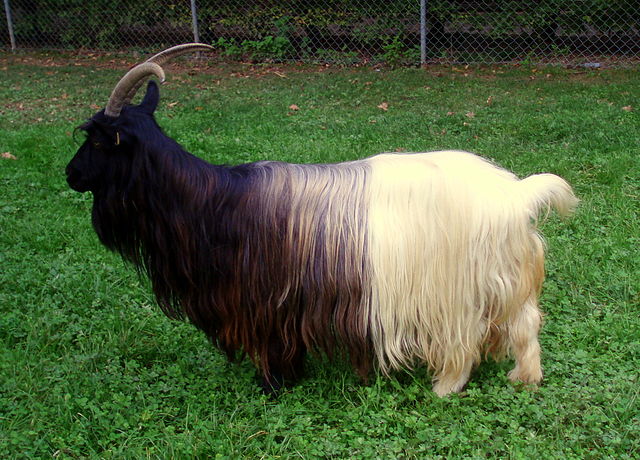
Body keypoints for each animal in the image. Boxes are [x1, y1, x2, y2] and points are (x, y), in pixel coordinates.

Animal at [66, 44, 578, 396]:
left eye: (98, 140)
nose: (70, 174)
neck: (212, 203)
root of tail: (516, 194)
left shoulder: (265, 301)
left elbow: (271, 346)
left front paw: (273, 385)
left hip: (455, 288)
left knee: (465, 339)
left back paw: (445, 387)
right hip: (504, 278)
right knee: (526, 323)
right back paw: (524, 378)